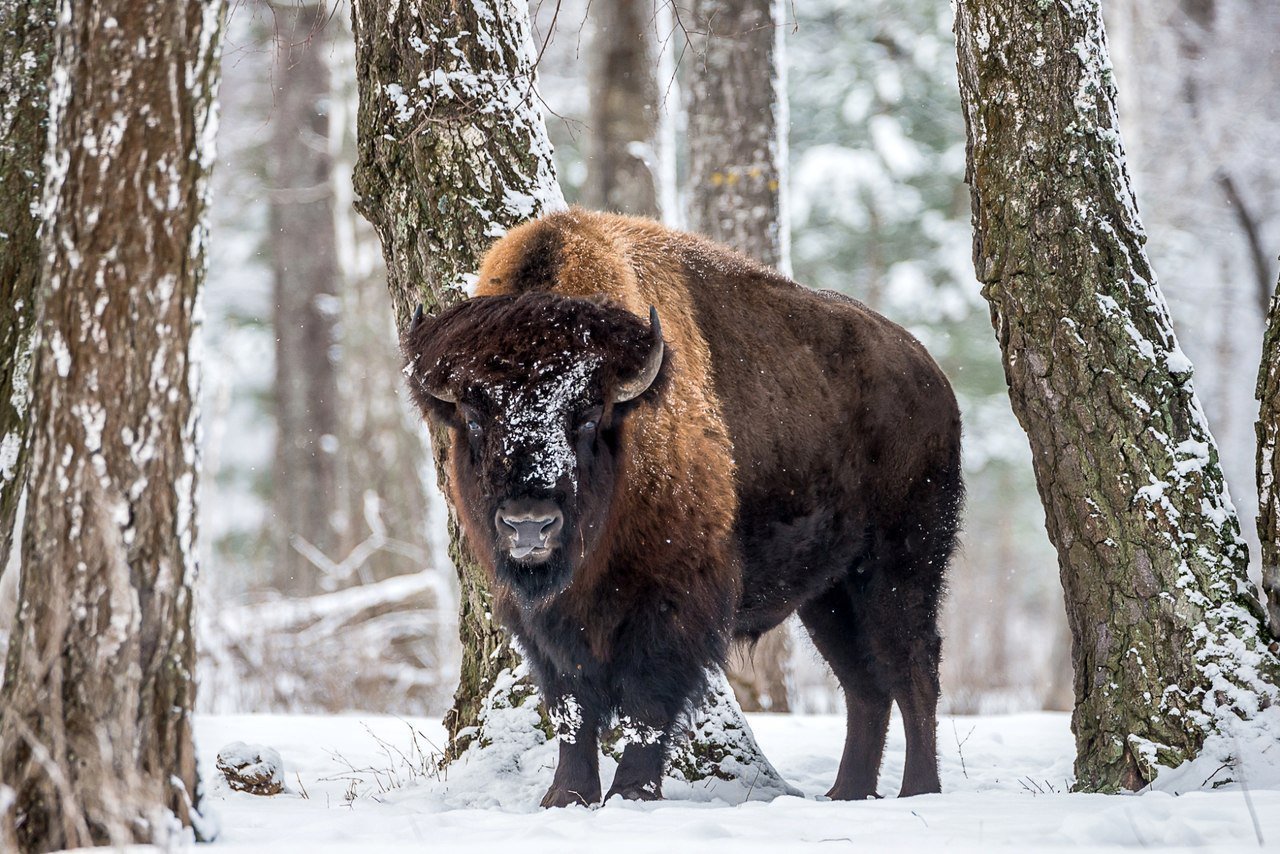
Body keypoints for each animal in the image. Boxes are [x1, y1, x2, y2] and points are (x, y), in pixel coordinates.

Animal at [399, 207, 962, 809]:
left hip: (901, 567)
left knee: (913, 670)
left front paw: (631, 793)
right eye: (474, 416)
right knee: (864, 686)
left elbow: (647, 702)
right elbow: (570, 706)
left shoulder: (673, 598)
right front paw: (566, 797)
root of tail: (932, 376)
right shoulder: (545, 621)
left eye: (588, 413)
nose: (530, 525)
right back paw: (846, 793)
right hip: (828, 594)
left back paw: (918, 790)